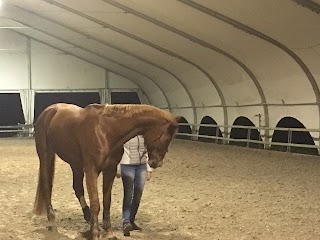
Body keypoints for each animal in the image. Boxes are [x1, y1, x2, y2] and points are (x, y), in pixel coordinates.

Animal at [33, 103, 179, 240]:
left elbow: (106, 201)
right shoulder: (91, 170)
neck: (106, 130)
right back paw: (52, 222)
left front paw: (108, 231)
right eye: (166, 138)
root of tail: (48, 112)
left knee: (77, 188)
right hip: (46, 156)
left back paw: (87, 218)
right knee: (47, 187)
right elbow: (95, 203)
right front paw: (95, 233)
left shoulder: (110, 170)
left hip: (75, 164)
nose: (156, 163)